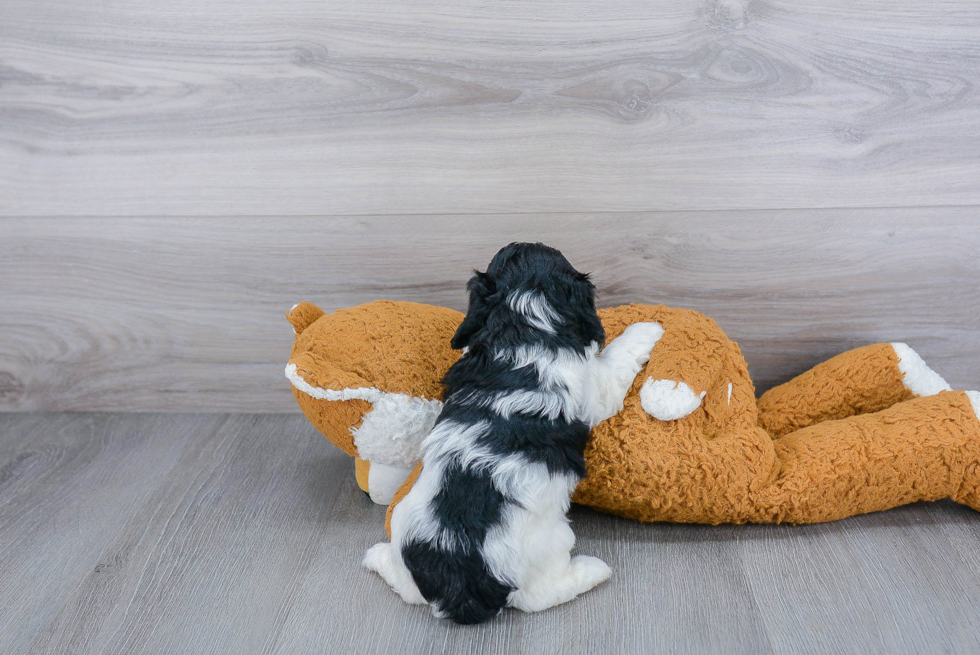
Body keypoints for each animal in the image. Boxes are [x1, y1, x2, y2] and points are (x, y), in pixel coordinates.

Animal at [364, 242, 664, 624]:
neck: (522, 322)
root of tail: (457, 584)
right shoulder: (596, 386)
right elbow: (617, 357)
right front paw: (646, 328)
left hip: (405, 529)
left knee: (408, 589)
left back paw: (376, 556)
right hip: (551, 542)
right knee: (539, 596)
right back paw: (593, 571)